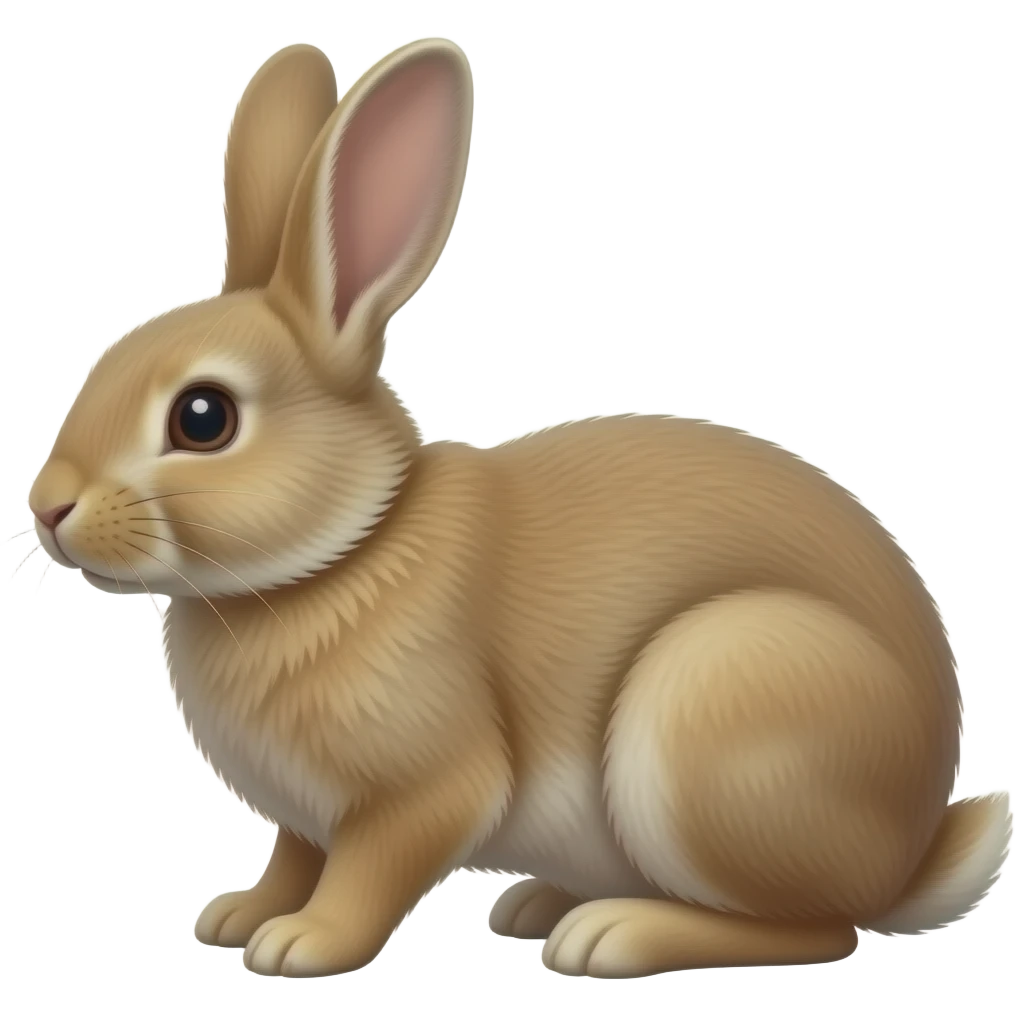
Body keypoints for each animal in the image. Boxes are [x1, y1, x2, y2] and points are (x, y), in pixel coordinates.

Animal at [25, 36, 1011, 981]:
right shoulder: (307, 817)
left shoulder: (423, 788)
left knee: (817, 927)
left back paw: (611, 934)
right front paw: (239, 914)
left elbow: (368, 870)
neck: (349, 547)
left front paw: (302, 944)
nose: (49, 506)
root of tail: (912, 848)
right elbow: (295, 858)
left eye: (203, 418)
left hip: (714, 712)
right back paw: (541, 902)